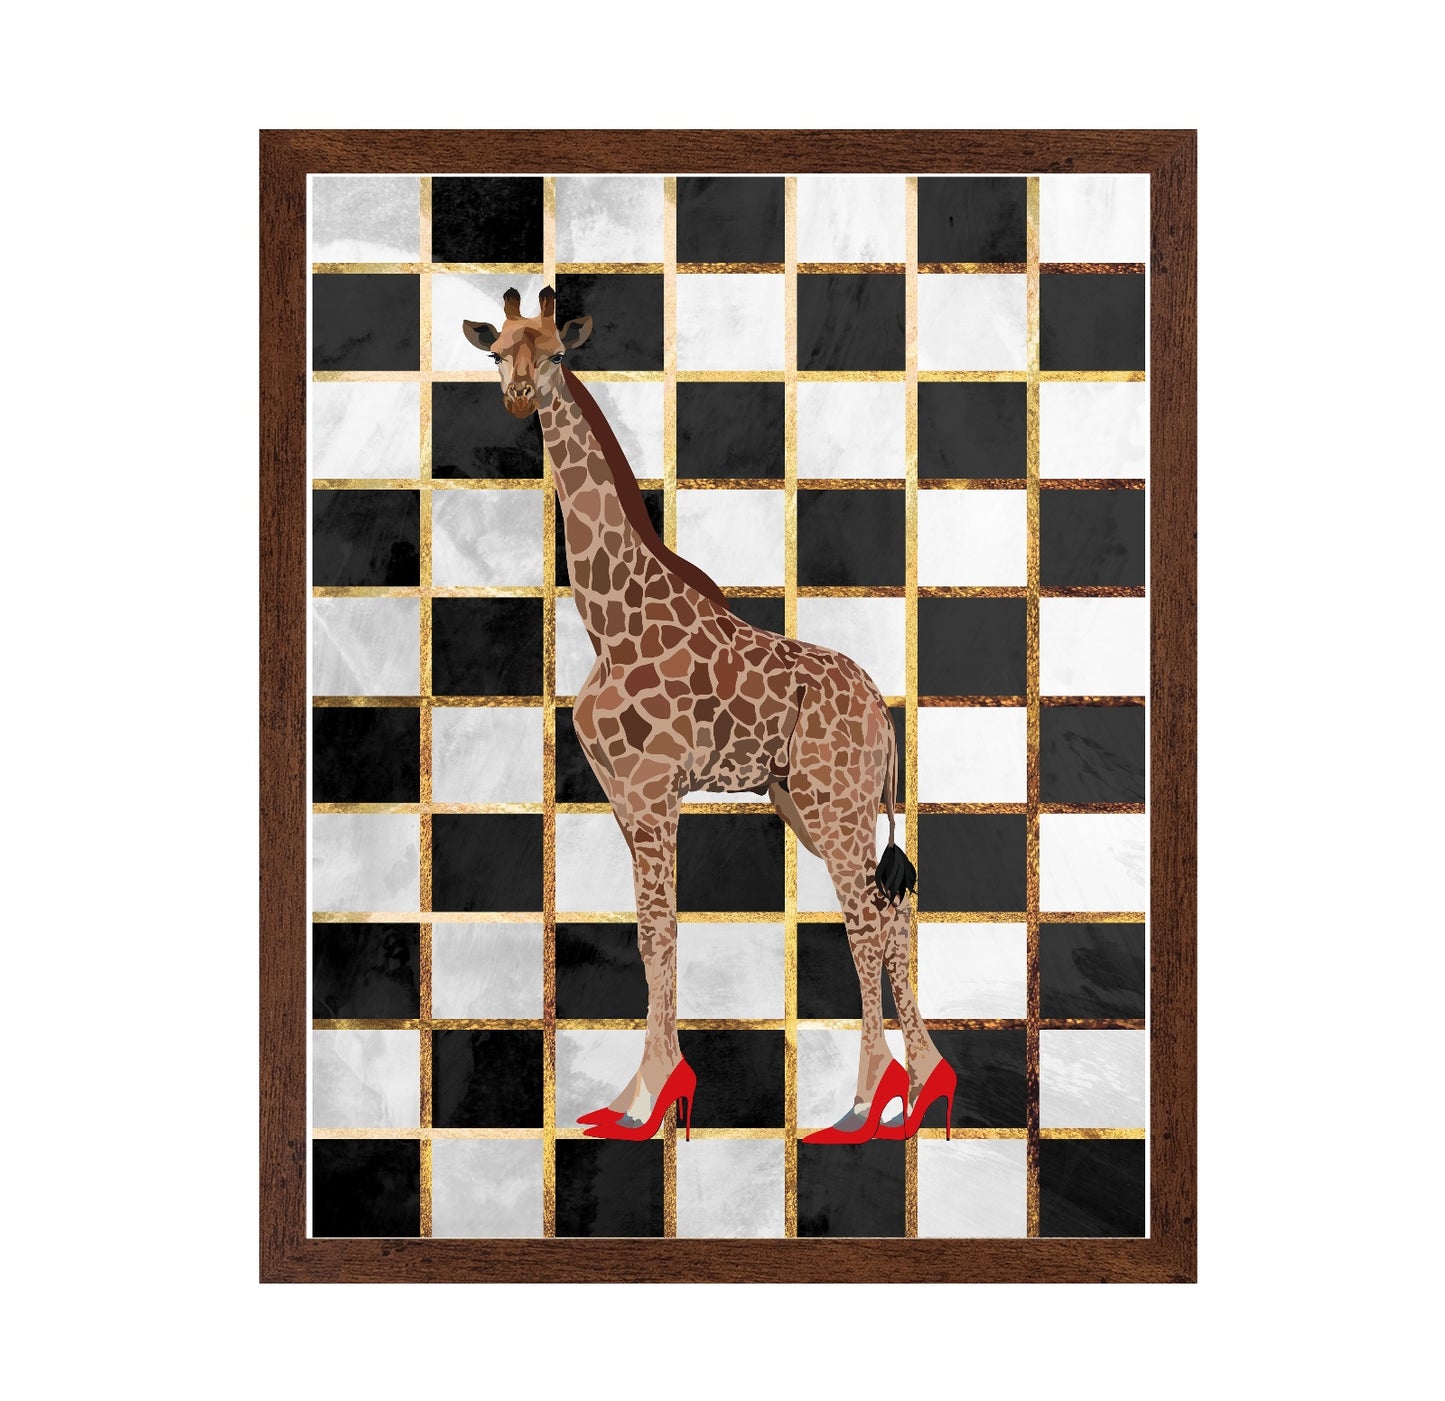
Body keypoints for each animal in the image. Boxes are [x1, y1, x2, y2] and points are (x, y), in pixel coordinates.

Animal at [462, 287, 955, 1142]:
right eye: (497, 353)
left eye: (556, 352)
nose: (520, 395)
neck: (607, 619)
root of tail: (882, 709)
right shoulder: (625, 799)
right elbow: (645, 932)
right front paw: (632, 1099)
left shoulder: (656, 791)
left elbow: (660, 928)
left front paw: (657, 1097)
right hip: (810, 803)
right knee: (888, 911)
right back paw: (921, 1088)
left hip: (836, 803)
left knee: (864, 919)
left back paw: (864, 1102)